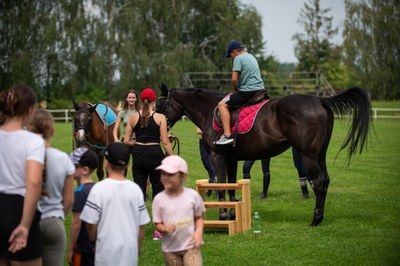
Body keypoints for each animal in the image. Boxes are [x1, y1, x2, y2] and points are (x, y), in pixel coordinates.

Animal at [157, 84, 372, 225]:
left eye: (160, 106)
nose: (158, 123)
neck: (210, 110)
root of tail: (319, 100)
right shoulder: (231, 159)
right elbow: (231, 186)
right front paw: (234, 214)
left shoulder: (218, 157)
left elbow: (221, 185)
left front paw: (223, 215)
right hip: (320, 154)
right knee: (325, 180)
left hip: (308, 155)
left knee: (318, 181)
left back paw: (315, 219)